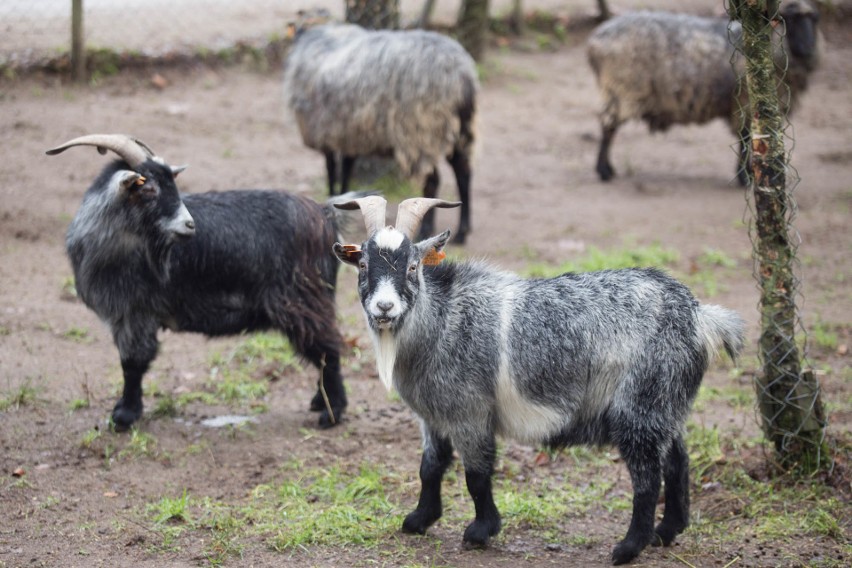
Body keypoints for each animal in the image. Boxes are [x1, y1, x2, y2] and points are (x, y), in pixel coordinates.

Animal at [46, 135, 352, 430]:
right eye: (148, 189)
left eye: (172, 185)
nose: (190, 224)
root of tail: (325, 214)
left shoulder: (135, 312)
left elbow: (133, 363)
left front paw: (123, 416)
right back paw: (319, 401)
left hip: (302, 299)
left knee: (329, 348)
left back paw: (331, 413)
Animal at [282, 23, 476, 242]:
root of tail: (462, 75)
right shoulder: (349, 136)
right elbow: (346, 170)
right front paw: (346, 203)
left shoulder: (326, 134)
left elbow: (332, 170)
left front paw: (333, 202)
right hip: (458, 130)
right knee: (464, 173)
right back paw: (463, 231)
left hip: (422, 132)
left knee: (433, 182)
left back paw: (426, 230)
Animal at [332, 196, 744, 564]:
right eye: (363, 264)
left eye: (413, 266)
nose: (385, 307)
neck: (444, 319)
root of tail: (699, 318)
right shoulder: (433, 415)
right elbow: (430, 466)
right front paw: (419, 520)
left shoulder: (469, 412)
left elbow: (476, 474)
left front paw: (480, 531)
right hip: (666, 405)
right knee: (677, 461)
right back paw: (667, 531)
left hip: (640, 407)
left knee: (647, 479)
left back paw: (628, 548)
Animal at [588, 0, 824, 184]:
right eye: (789, 19)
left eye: (814, 20)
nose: (808, 50)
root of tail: (595, 41)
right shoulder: (744, 101)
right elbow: (745, 138)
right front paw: (745, 178)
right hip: (622, 89)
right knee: (608, 127)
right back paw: (604, 171)